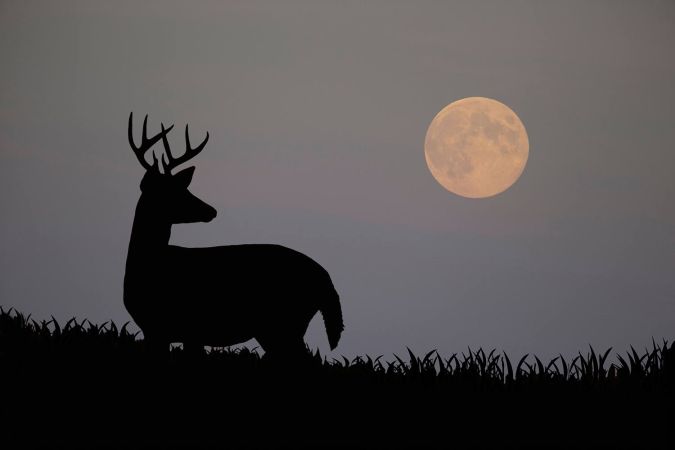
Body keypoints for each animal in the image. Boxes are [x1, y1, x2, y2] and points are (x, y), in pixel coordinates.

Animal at [124, 112, 344, 358]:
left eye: (183, 189)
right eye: (174, 192)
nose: (211, 210)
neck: (148, 264)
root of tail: (327, 281)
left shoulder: (165, 328)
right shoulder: (172, 333)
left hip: (283, 322)